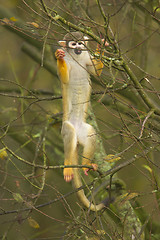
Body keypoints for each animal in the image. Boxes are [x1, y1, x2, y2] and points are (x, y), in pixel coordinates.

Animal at [55, 31, 109, 211]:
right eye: (72, 44)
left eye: (80, 43)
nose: (78, 48)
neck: (76, 57)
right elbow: (64, 78)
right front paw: (59, 57)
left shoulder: (86, 56)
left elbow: (95, 72)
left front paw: (100, 47)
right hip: (66, 128)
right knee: (69, 132)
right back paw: (67, 165)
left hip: (83, 131)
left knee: (91, 132)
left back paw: (87, 164)